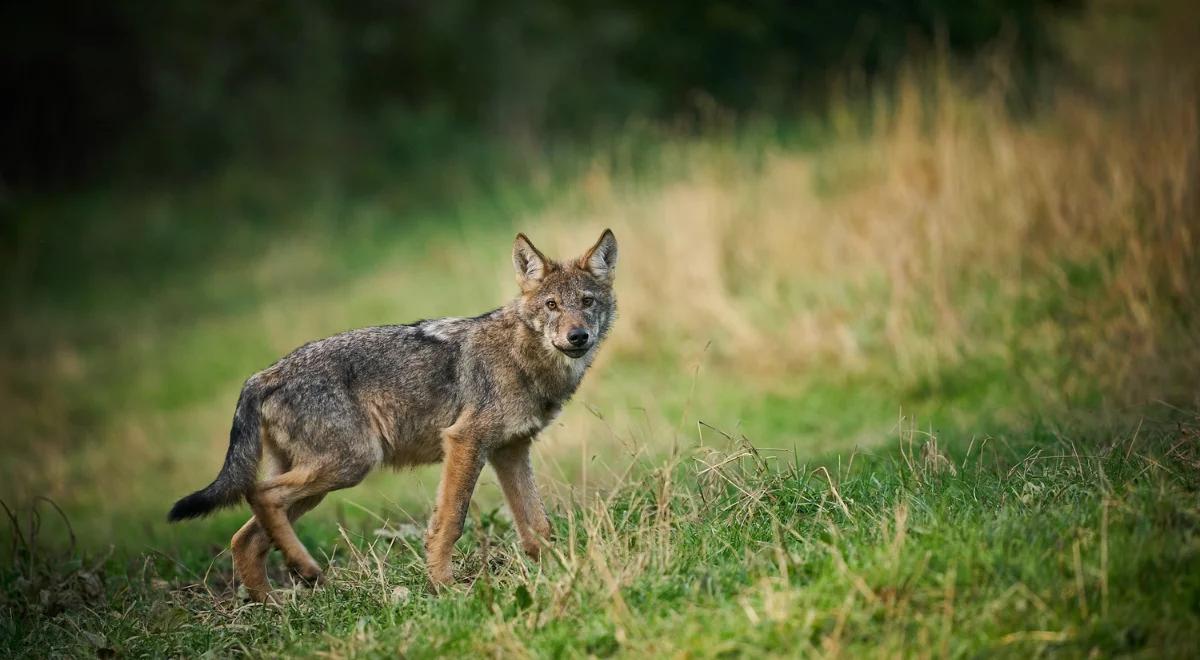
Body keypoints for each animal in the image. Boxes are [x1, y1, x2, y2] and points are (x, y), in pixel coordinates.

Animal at [169, 230, 619, 602]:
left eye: (587, 302)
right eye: (551, 305)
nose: (577, 336)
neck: (523, 356)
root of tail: (262, 375)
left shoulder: (509, 451)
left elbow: (538, 527)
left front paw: (558, 574)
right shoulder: (465, 442)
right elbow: (452, 521)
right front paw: (444, 587)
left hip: (320, 484)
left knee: (244, 537)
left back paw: (277, 606)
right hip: (349, 465)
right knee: (260, 495)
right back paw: (308, 572)